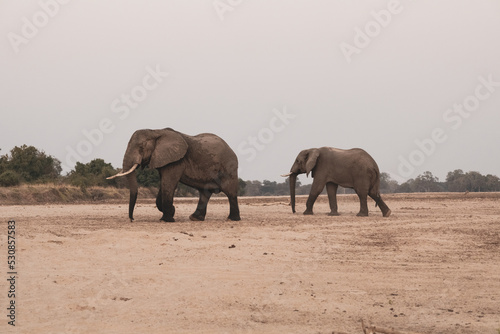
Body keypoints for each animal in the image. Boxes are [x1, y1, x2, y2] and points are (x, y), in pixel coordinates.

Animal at [108, 128, 241, 222]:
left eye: (141, 147)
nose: (132, 219)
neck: (156, 131)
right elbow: (163, 184)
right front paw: (171, 212)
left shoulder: (176, 160)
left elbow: (168, 184)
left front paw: (167, 219)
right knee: (205, 193)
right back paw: (194, 218)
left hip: (229, 167)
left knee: (230, 192)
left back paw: (232, 219)